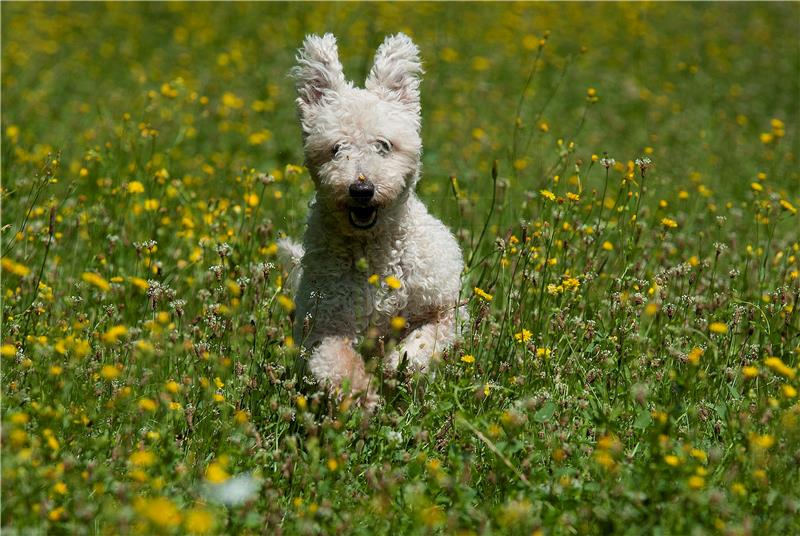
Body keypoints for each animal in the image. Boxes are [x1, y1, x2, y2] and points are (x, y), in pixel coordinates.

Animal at [282, 33, 466, 408]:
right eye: (336, 148)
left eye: (383, 145)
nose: (361, 189)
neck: (375, 249)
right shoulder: (326, 324)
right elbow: (335, 359)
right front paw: (359, 393)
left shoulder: (445, 306)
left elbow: (430, 335)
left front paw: (403, 362)